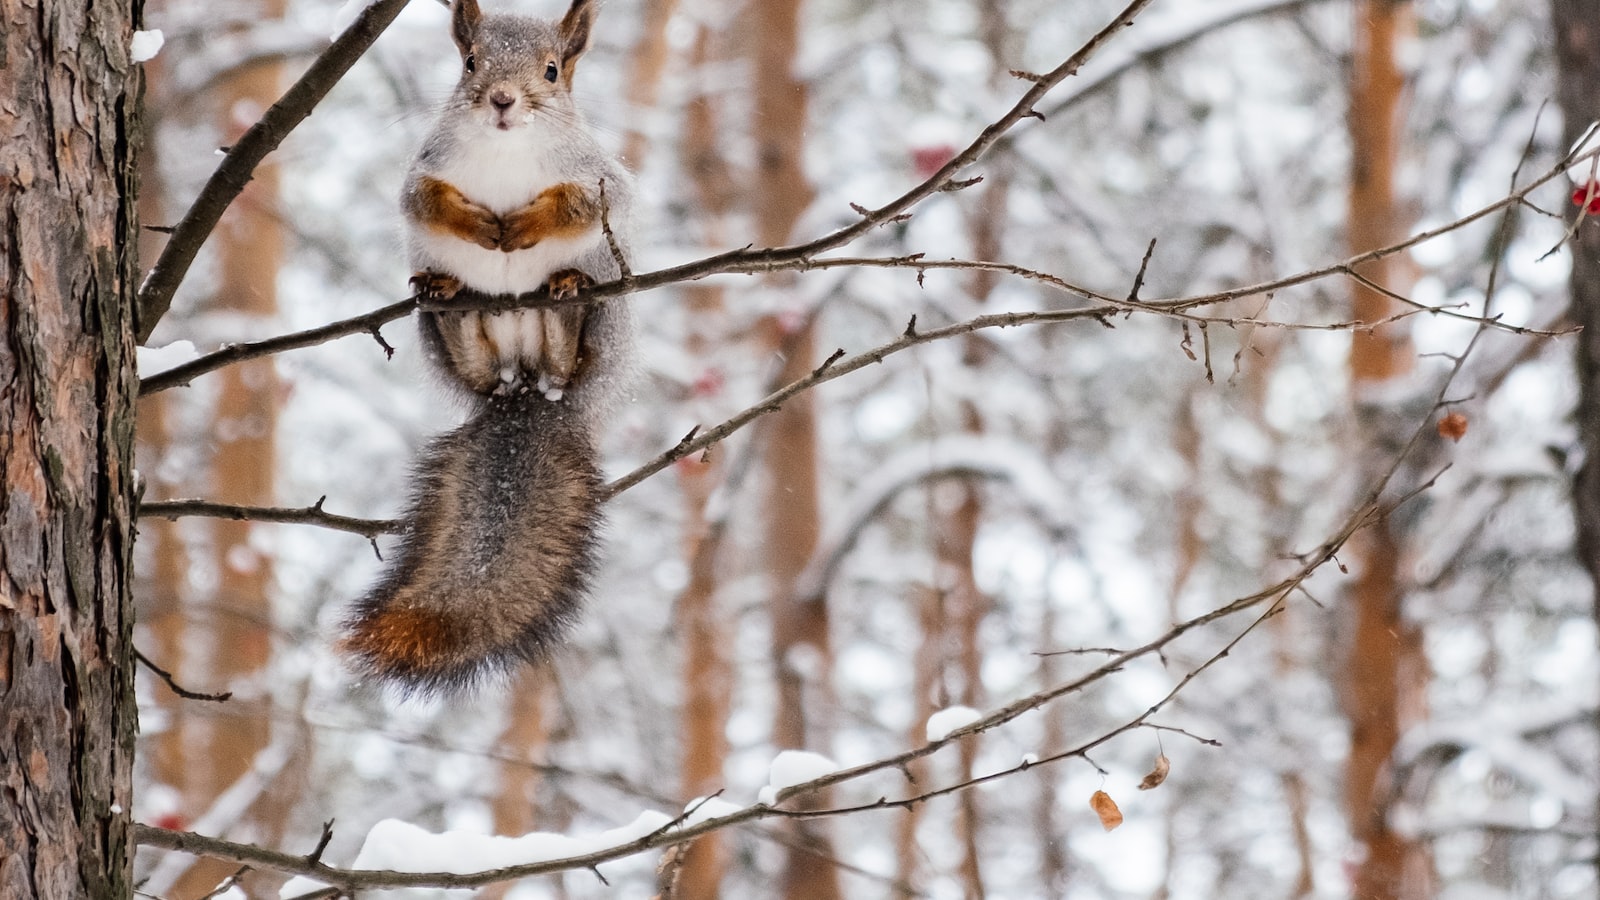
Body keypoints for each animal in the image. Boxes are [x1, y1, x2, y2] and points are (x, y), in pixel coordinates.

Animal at [344, 0, 630, 695]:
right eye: (470, 62)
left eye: (552, 70)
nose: (502, 99)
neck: (506, 149)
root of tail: (524, 384)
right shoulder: (424, 170)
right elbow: (424, 201)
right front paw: (475, 223)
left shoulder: (600, 180)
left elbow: (579, 204)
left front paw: (524, 224)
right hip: (449, 340)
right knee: (471, 358)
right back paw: (450, 297)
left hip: (603, 325)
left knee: (568, 348)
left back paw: (566, 296)